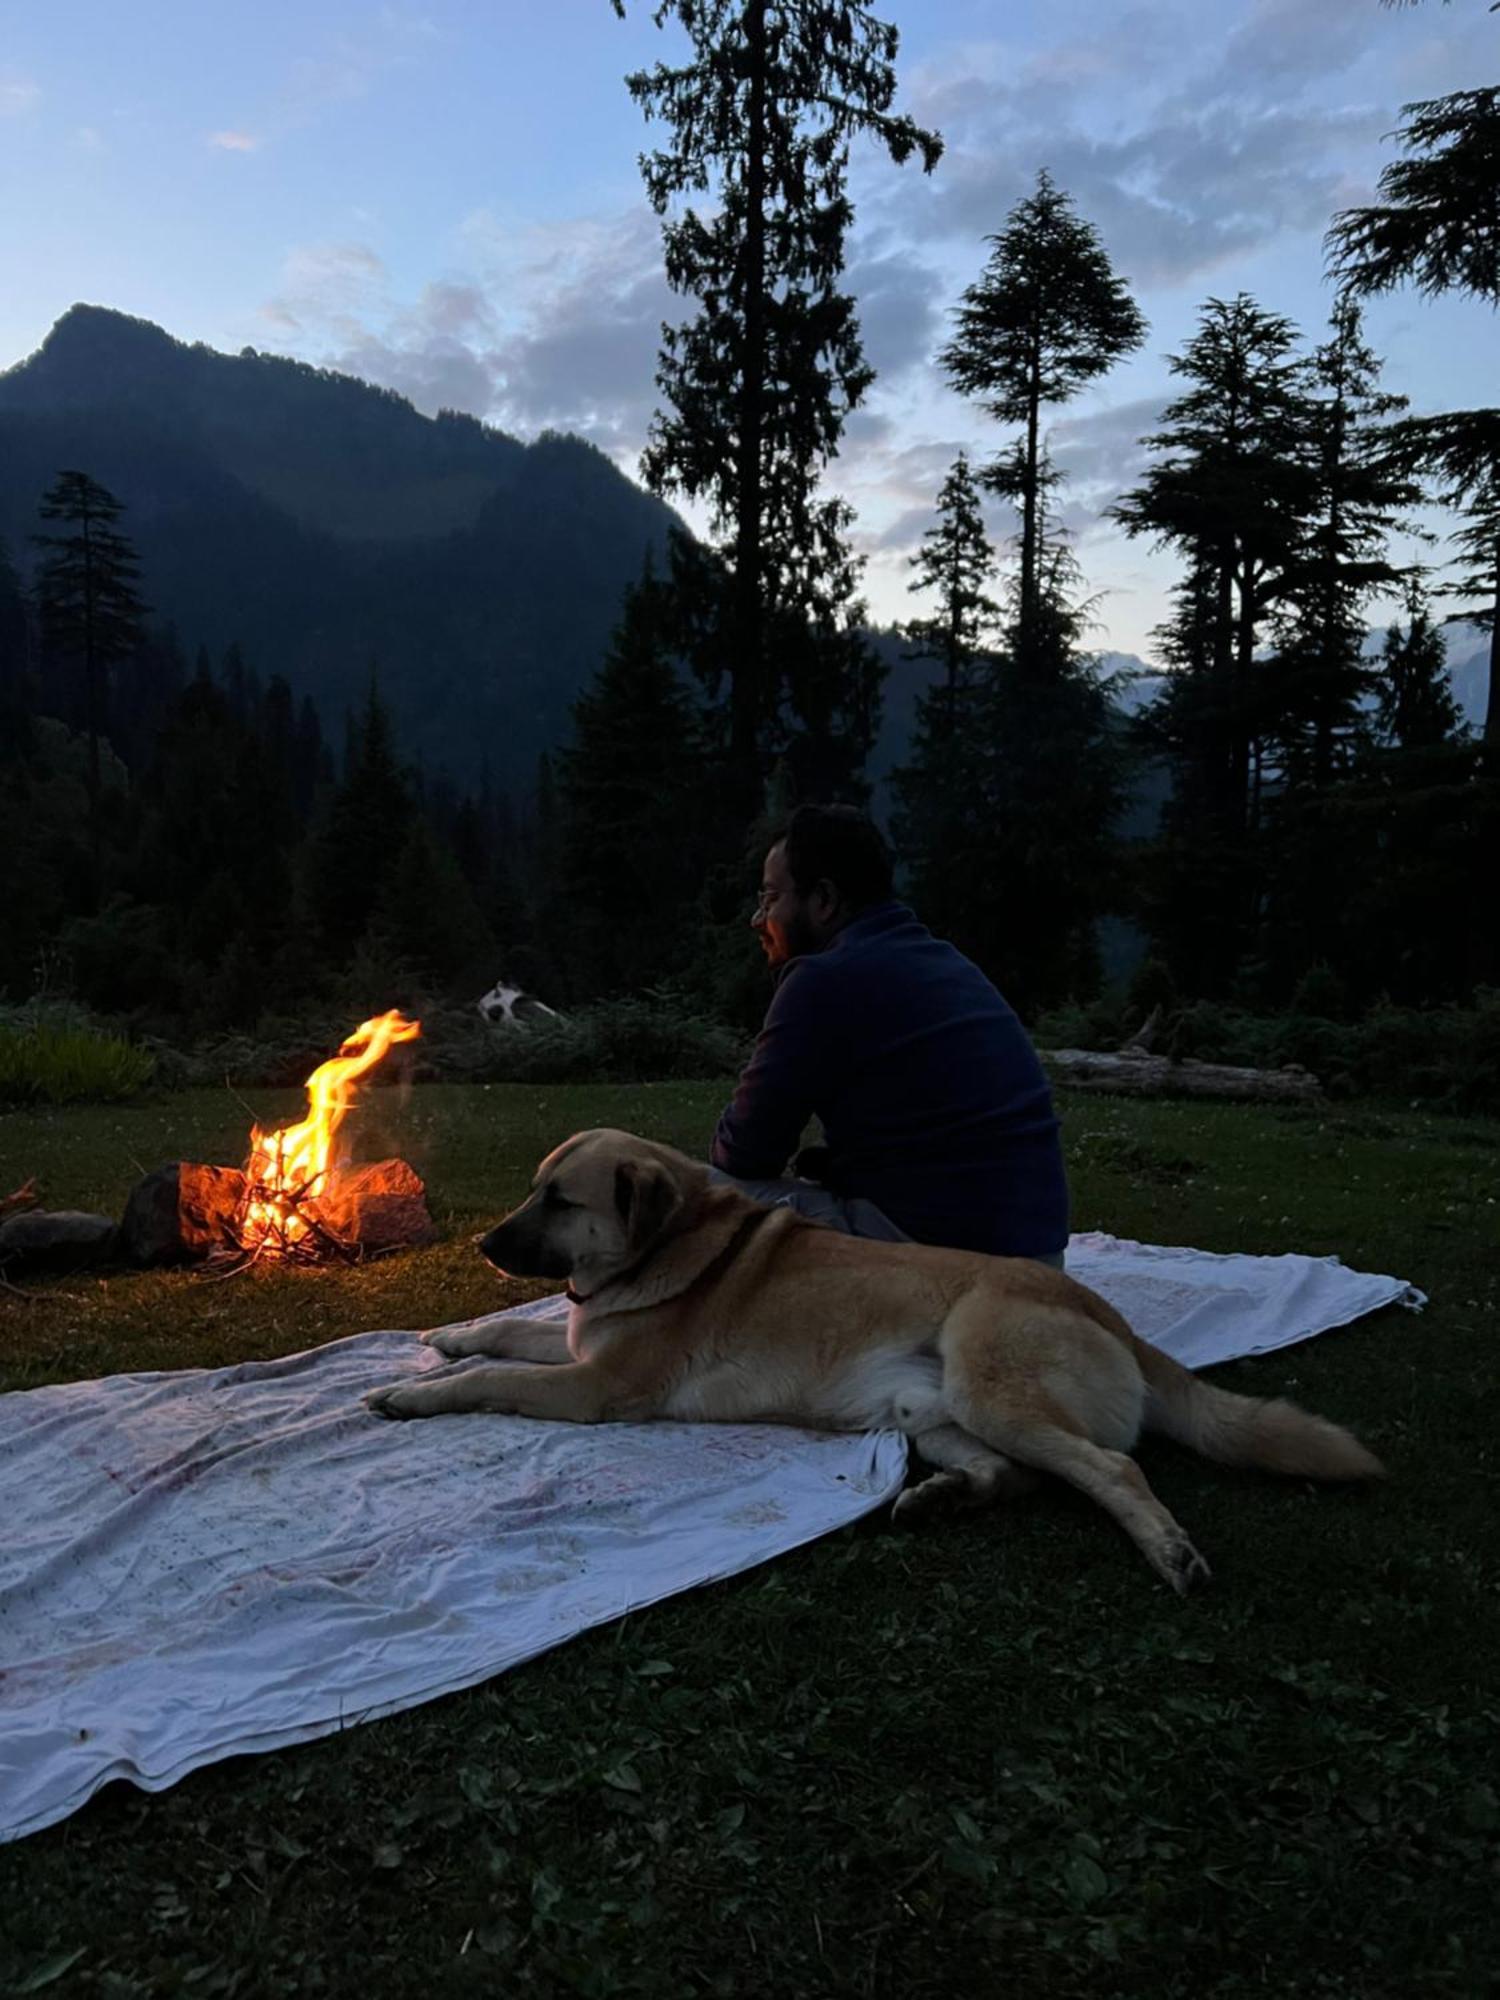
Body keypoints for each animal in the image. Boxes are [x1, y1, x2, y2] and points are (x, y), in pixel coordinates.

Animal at [364, 1128, 1384, 1592]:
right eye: (533, 1190)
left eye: (559, 1199)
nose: (486, 1244)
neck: (664, 1248)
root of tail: (1115, 1318)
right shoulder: (579, 1343)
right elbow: (505, 1337)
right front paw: (448, 1341)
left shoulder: (594, 1386)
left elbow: (499, 1378)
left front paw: (417, 1397)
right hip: (928, 1413)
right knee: (1019, 1476)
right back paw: (942, 1500)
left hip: (987, 1378)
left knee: (1111, 1468)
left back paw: (1169, 1552)